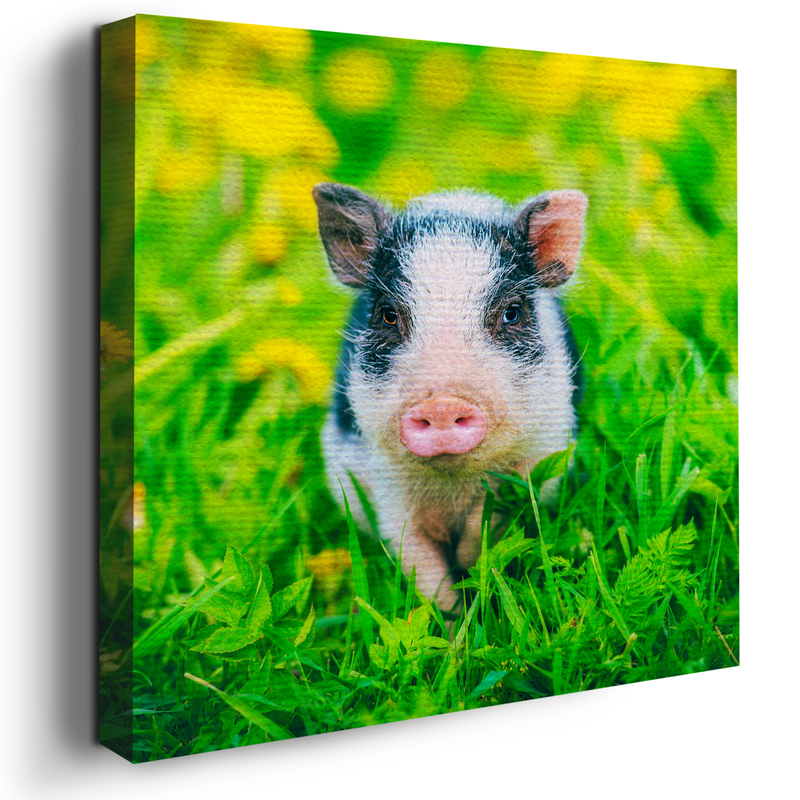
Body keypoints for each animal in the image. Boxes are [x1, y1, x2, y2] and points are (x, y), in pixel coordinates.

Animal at [313, 183, 587, 612]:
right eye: (388, 315)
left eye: (511, 312)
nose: (441, 404)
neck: (453, 485)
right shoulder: (386, 483)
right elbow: (417, 560)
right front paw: (452, 618)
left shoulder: (537, 455)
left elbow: (488, 524)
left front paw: (469, 571)